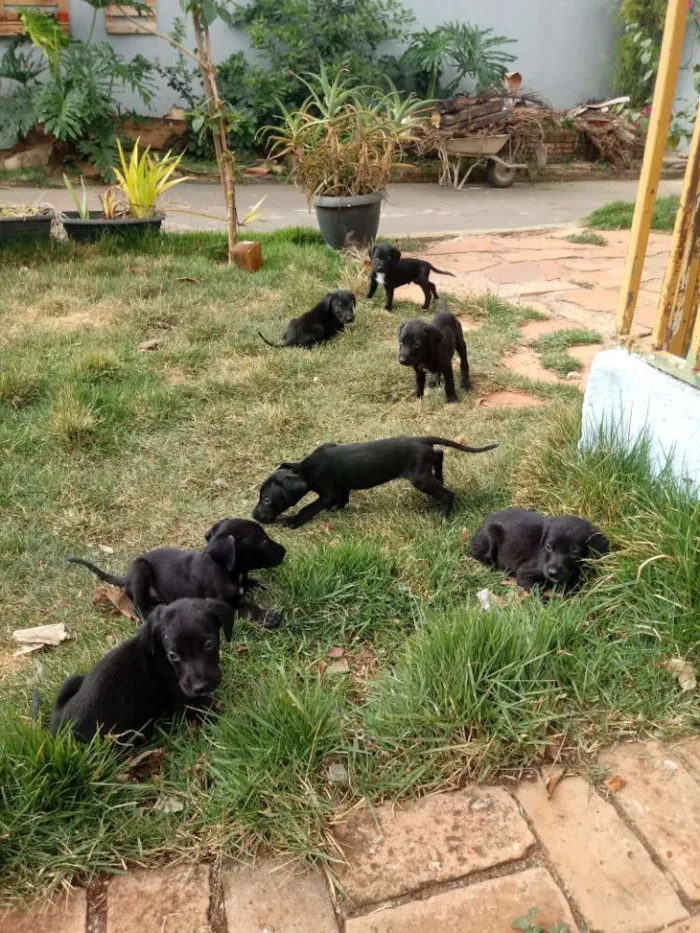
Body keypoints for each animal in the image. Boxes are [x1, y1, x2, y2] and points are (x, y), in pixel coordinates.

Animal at [50, 596, 235, 744]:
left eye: (209, 644)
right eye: (173, 655)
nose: (201, 687)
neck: (159, 655)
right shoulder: (186, 697)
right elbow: (215, 713)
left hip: (74, 679)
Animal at [252, 436, 498, 528]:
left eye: (266, 499)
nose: (253, 516)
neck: (304, 470)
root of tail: (420, 438)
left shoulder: (327, 491)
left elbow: (308, 508)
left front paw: (292, 521)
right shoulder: (341, 486)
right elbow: (343, 496)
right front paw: (337, 508)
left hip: (419, 478)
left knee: (447, 493)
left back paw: (445, 515)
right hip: (423, 465)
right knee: (438, 453)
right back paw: (440, 475)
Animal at [470, 506, 608, 592]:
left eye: (574, 552)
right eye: (548, 547)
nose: (552, 572)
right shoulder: (525, 573)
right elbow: (538, 590)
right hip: (491, 534)